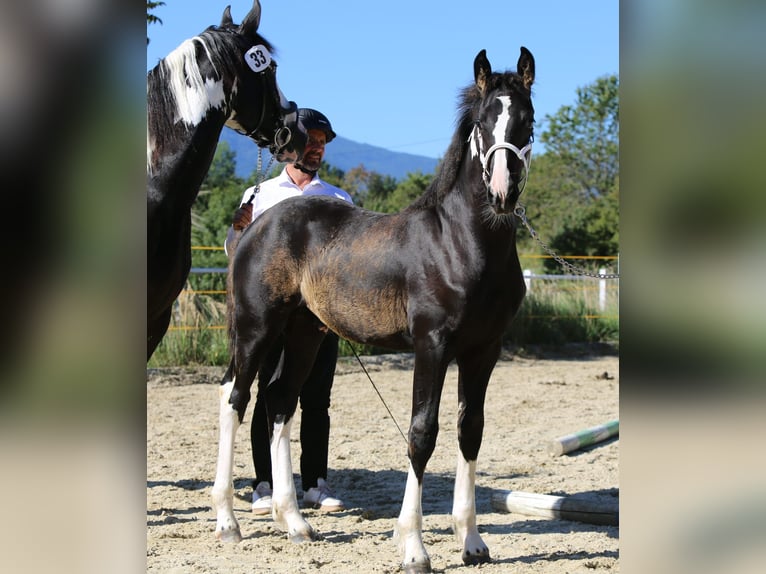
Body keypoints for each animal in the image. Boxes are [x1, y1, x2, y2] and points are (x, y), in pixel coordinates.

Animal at [213, 47, 535, 573]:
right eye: (484, 123)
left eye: (526, 119)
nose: (503, 193)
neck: (462, 242)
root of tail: (256, 222)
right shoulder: (431, 346)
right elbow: (422, 433)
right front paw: (414, 548)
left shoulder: (484, 350)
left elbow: (470, 431)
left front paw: (473, 543)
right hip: (256, 328)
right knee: (235, 399)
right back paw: (227, 522)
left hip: (304, 333)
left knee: (280, 401)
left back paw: (295, 523)